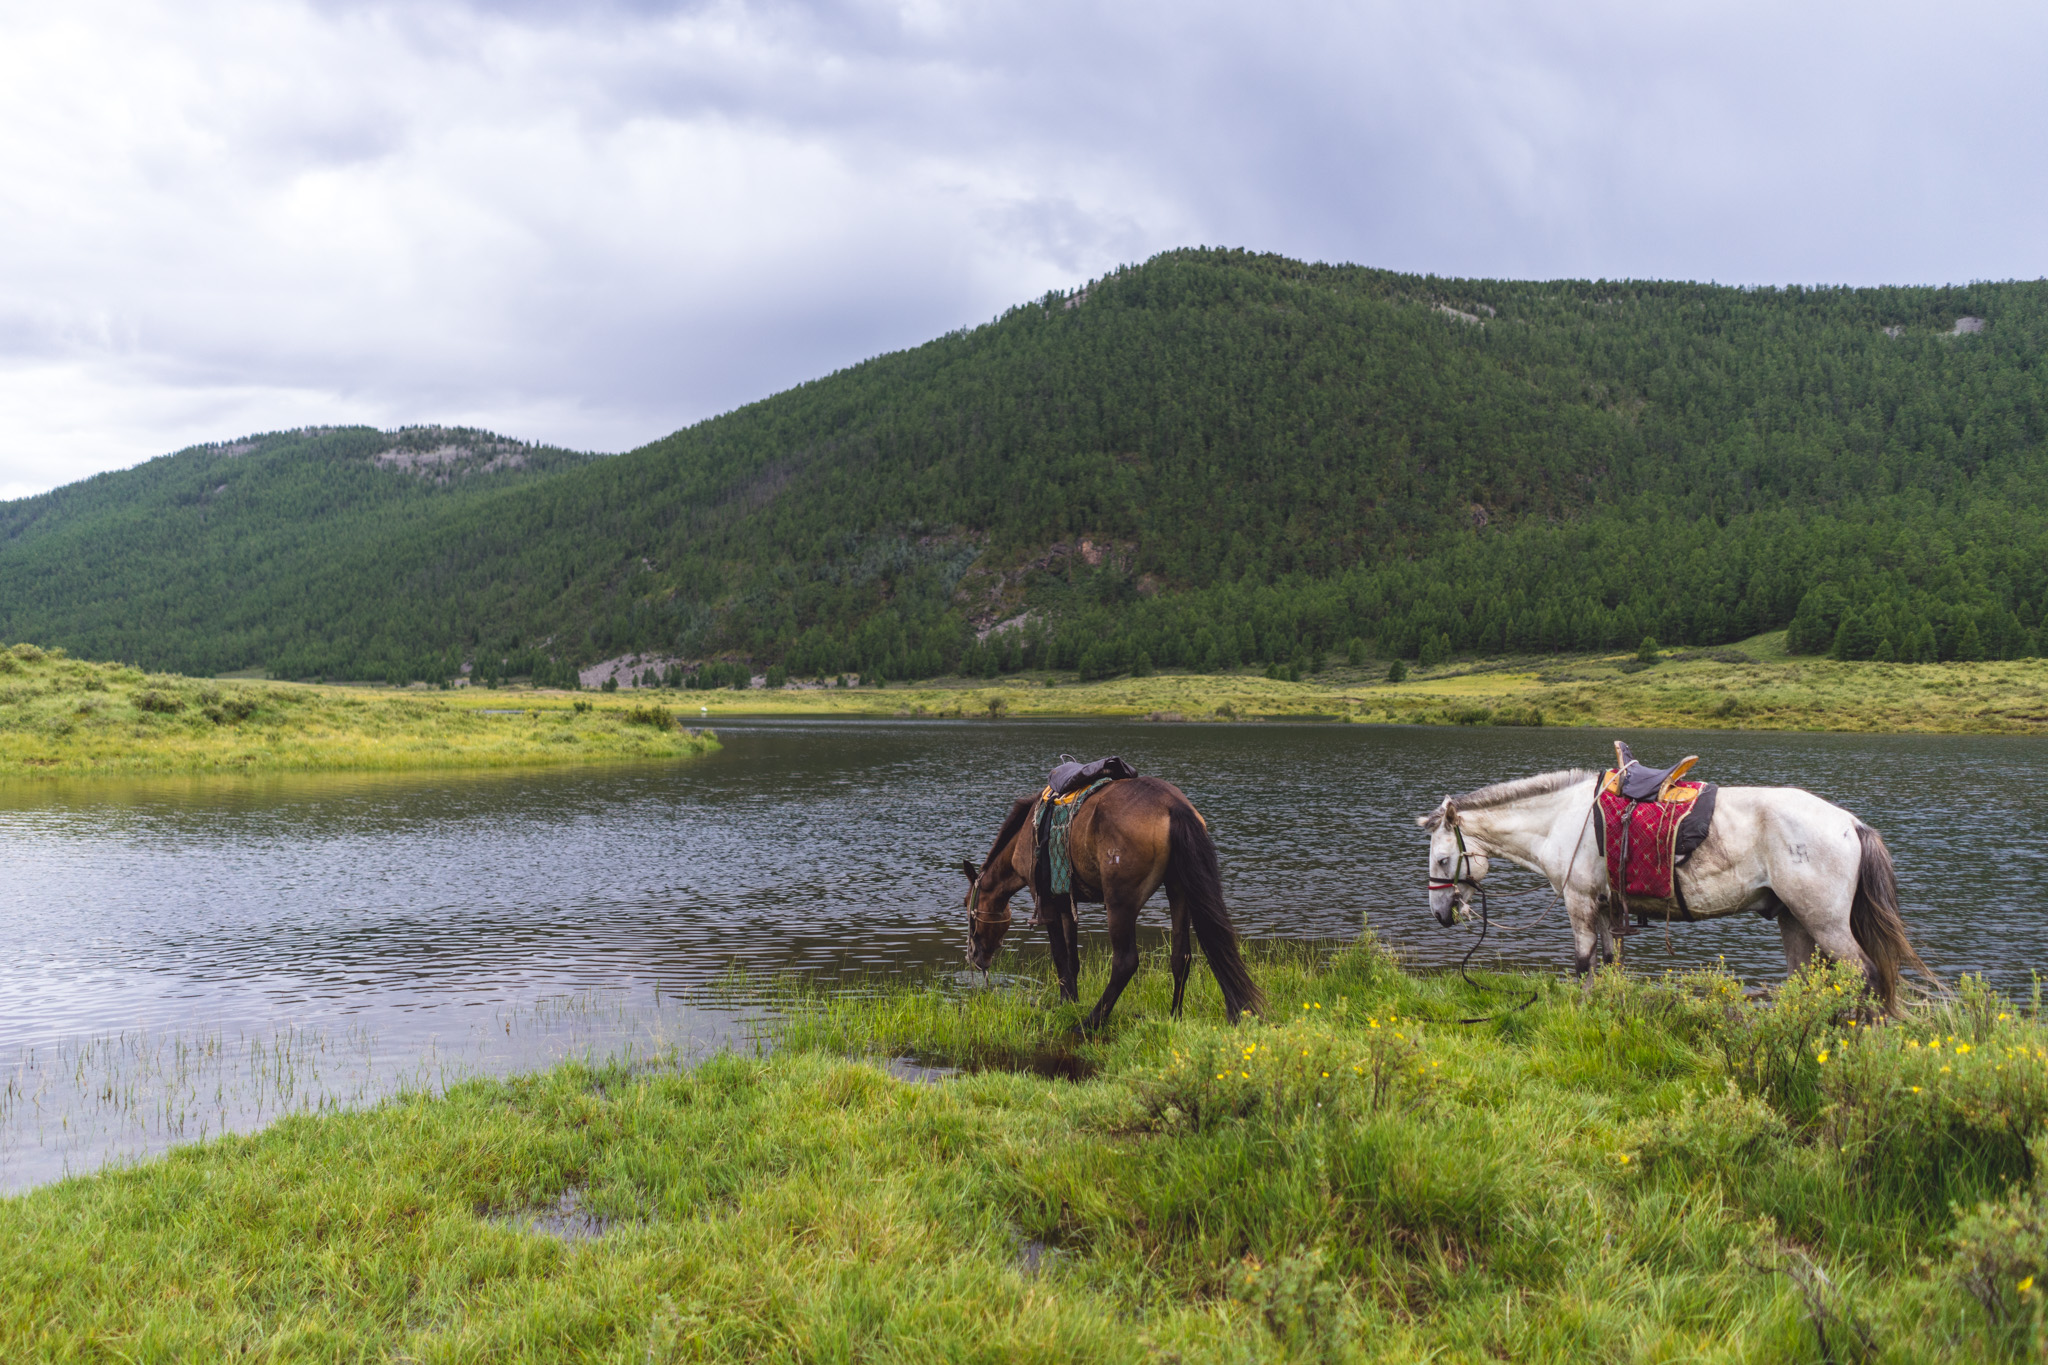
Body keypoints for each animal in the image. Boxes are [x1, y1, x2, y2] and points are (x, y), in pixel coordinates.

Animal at [958, 777, 1261, 1023]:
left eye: (967, 905)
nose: (974, 956)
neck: (1023, 836)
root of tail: (1174, 806)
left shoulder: (1045, 900)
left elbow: (1059, 956)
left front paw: (1066, 1004)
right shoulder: (1066, 901)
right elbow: (1072, 959)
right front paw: (1071, 1000)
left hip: (1120, 904)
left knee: (1125, 962)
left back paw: (1091, 1021)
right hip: (1179, 891)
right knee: (1181, 957)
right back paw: (1174, 1016)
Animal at [1417, 769, 1925, 1015]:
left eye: (1441, 860)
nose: (1442, 912)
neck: (1561, 820)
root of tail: (1851, 824)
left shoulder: (1579, 902)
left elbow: (1582, 963)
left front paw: (1580, 1009)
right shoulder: (1605, 907)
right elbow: (1609, 961)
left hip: (1825, 922)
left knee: (1867, 976)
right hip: (1794, 920)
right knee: (1805, 980)